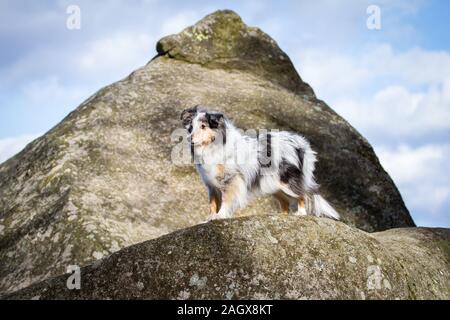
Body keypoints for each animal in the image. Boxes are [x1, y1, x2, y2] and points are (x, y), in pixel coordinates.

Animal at [181, 106, 340, 221]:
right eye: (190, 128)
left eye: (203, 126)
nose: (189, 139)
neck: (213, 145)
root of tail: (300, 143)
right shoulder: (211, 185)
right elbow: (212, 203)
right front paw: (210, 218)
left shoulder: (230, 180)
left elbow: (226, 200)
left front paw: (220, 216)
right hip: (273, 185)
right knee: (286, 202)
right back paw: (280, 217)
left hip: (287, 181)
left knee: (302, 194)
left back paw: (300, 213)